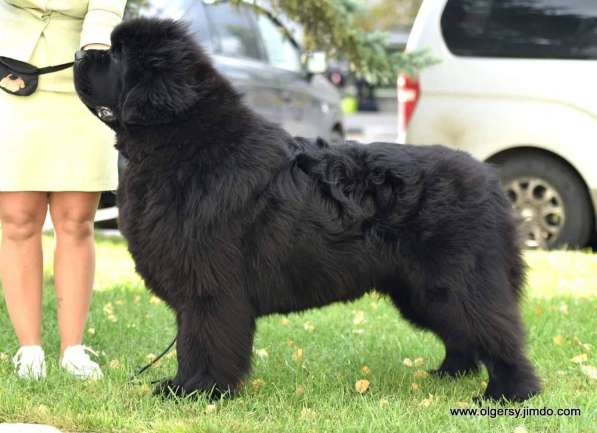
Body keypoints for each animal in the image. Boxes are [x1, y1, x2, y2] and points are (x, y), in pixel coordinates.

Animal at [73, 17, 540, 402]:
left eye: (116, 55)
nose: (78, 54)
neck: (182, 145)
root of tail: (490, 179)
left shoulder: (209, 285)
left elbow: (201, 340)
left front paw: (198, 391)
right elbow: (190, 340)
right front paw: (179, 386)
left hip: (457, 282)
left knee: (497, 331)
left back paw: (510, 393)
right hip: (419, 291)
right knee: (462, 334)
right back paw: (448, 373)